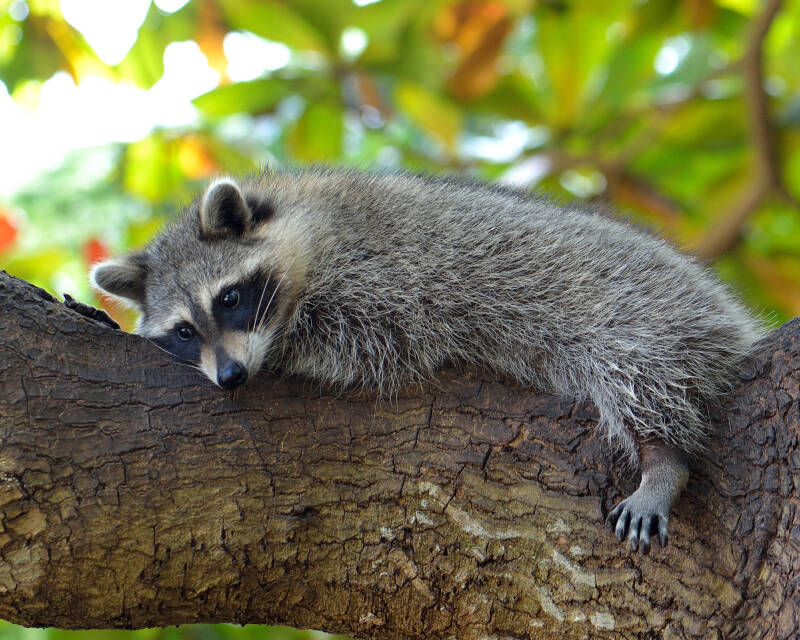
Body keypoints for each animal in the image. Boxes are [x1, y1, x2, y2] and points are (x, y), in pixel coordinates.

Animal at [90, 168, 762, 554]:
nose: (230, 378)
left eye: (229, 298)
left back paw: (663, 459)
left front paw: (284, 353)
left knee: (638, 371)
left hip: (643, 309)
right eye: (182, 331)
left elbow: (359, 344)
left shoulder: (380, 274)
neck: (299, 217)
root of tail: (731, 315)